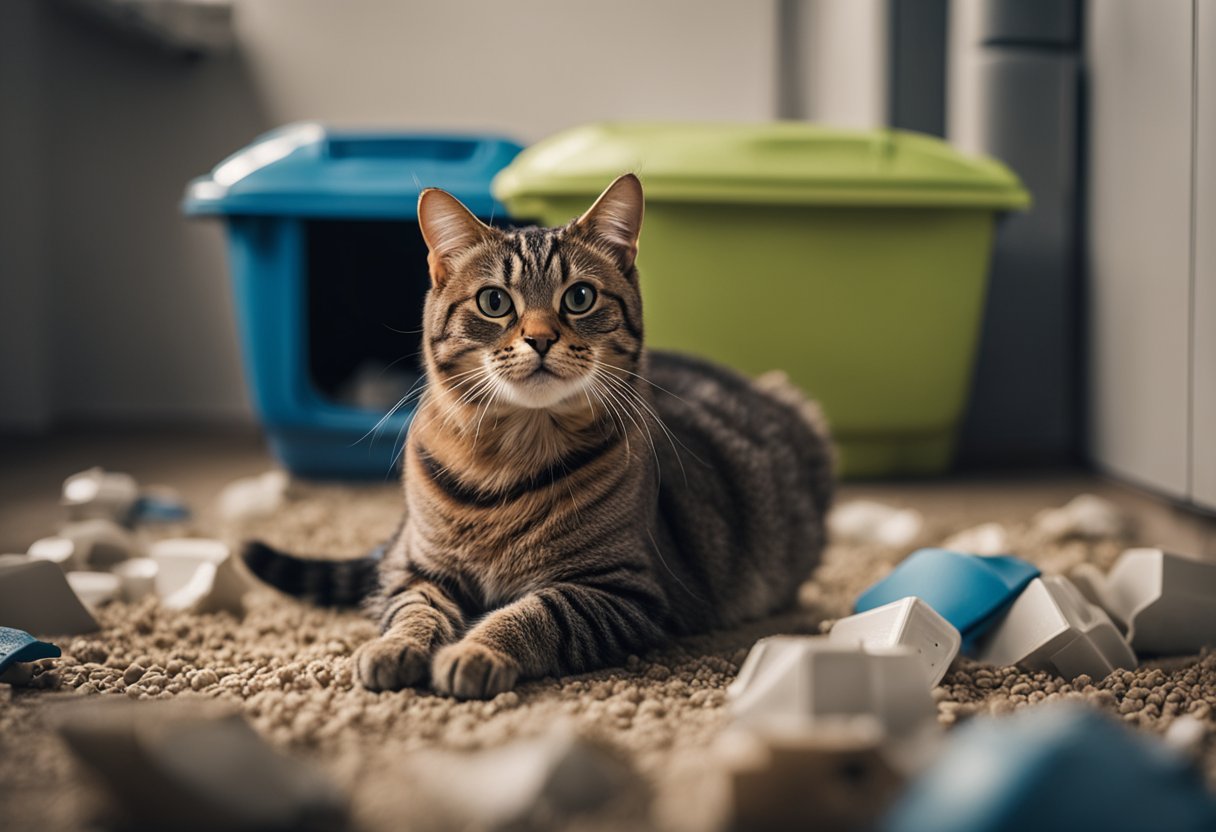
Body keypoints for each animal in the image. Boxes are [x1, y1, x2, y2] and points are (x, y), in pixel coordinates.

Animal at [246, 175, 836, 700]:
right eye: (494, 302)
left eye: (579, 297)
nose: (540, 338)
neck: (504, 460)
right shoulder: (417, 569)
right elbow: (415, 609)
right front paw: (398, 647)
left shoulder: (620, 590)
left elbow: (535, 614)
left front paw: (475, 650)